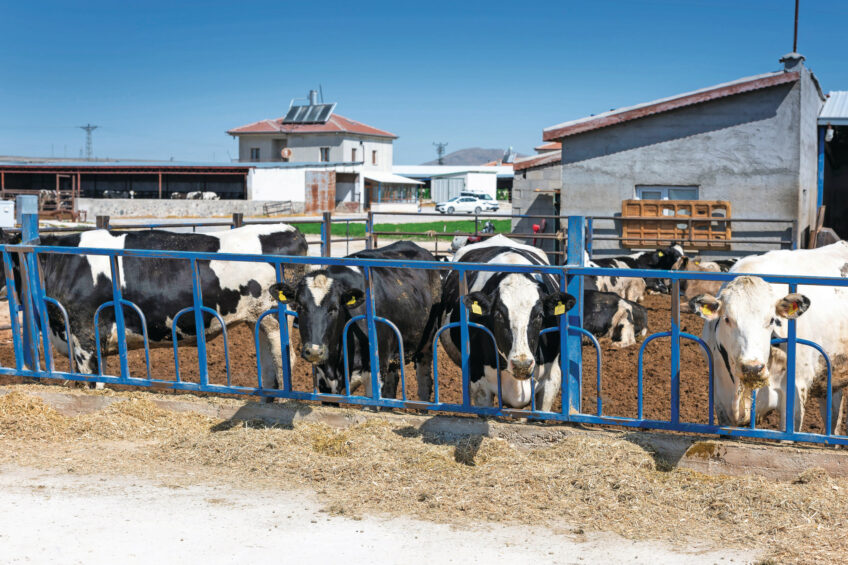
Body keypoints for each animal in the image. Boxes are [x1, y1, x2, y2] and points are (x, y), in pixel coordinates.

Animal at [0, 224, 308, 390]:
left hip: (274, 316)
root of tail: (291, 230)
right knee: (269, 361)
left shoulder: (85, 332)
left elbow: (92, 380)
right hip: (258, 318)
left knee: (284, 358)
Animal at [269, 241, 442, 401]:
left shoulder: (376, 373)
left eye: (334, 308)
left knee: (425, 383)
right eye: (300, 306)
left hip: (426, 345)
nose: (314, 351)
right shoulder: (324, 380)